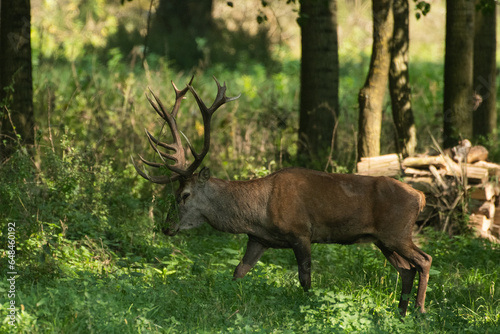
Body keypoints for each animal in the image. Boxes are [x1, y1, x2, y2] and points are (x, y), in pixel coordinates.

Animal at [133, 77, 430, 318]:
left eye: (184, 194)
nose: (166, 227)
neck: (259, 211)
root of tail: (420, 196)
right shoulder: (259, 239)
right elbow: (238, 271)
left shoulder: (301, 232)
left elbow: (305, 277)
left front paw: (308, 309)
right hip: (382, 240)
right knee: (406, 268)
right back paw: (401, 312)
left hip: (397, 232)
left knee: (423, 260)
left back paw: (419, 310)